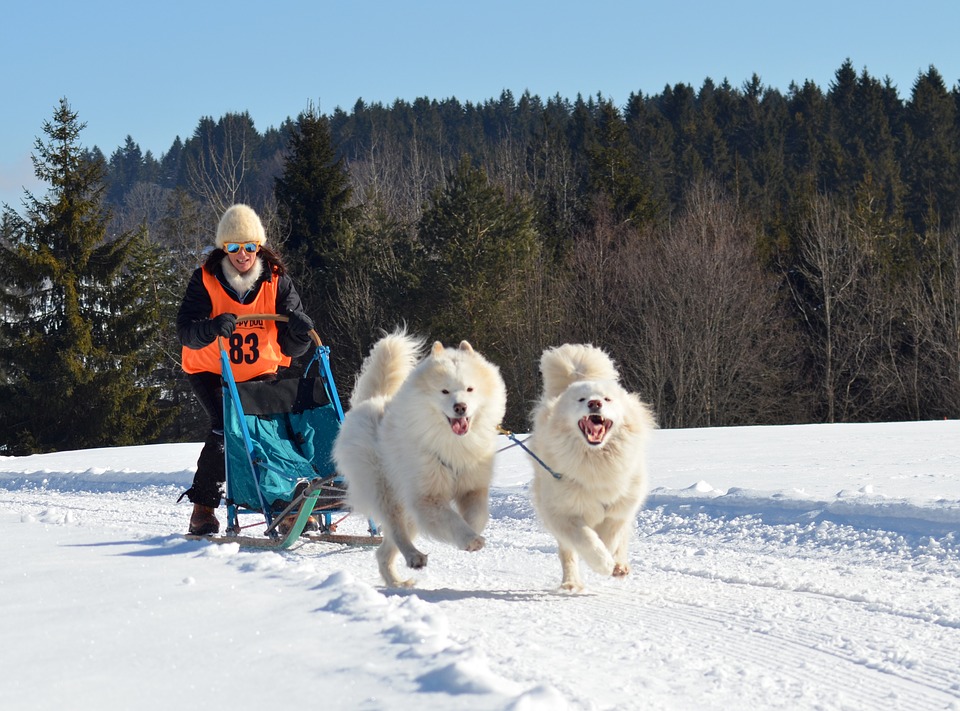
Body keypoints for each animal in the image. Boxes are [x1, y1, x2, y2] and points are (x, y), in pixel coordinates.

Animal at [332, 330, 506, 588]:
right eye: (444, 391)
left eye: (470, 389)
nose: (460, 407)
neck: (452, 443)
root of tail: (369, 402)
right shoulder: (427, 497)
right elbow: (451, 519)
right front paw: (469, 539)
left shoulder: (472, 486)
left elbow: (477, 516)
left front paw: (471, 533)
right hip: (386, 492)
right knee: (396, 531)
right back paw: (413, 556)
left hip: (407, 509)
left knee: (383, 551)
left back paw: (397, 582)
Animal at [524, 344, 660, 588]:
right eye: (581, 399)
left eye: (607, 399)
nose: (594, 403)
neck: (597, 461)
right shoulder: (564, 513)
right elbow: (587, 539)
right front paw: (602, 564)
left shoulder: (620, 508)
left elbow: (612, 536)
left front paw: (612, 563)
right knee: (568, 554)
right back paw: (571, 584)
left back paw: (620, 566)